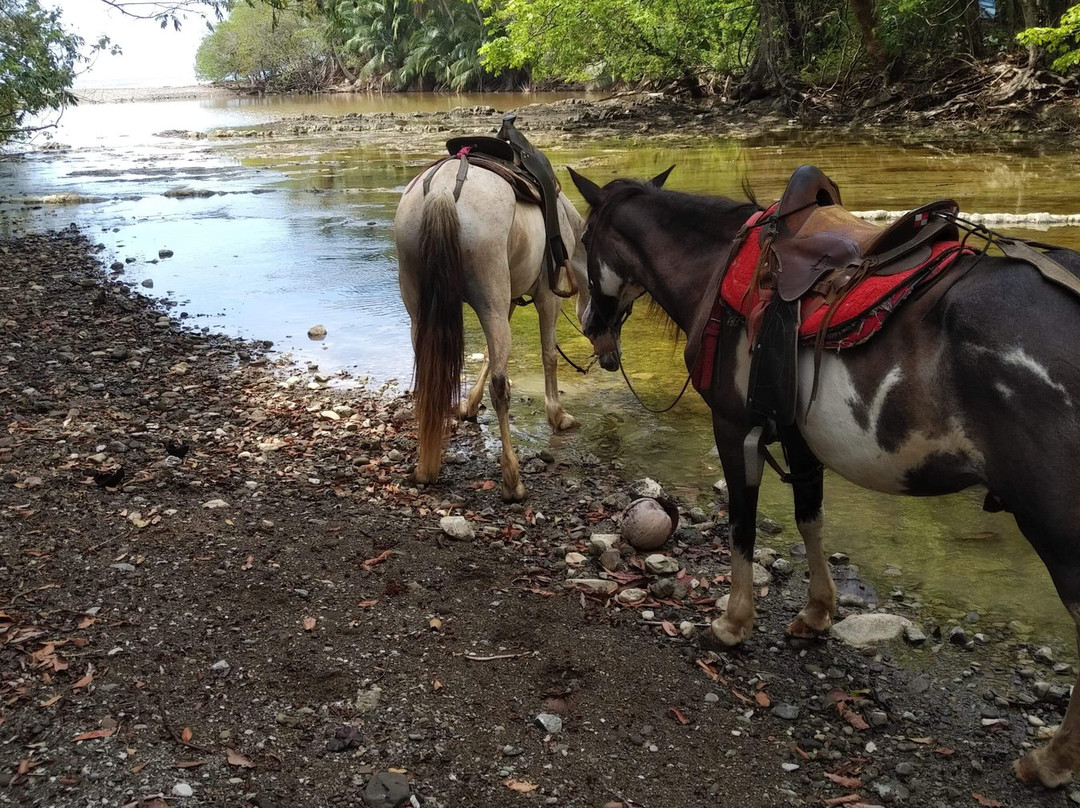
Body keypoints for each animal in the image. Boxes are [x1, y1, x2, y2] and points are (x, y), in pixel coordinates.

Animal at [395, 158, 591, 501]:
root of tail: (443, 189)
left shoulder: (511, 299)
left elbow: (488, 354)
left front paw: (469, 406)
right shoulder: (547, 296)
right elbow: (549, 355)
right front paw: (557, 415)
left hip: (421, 305)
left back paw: (425, 468)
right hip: (491, 299)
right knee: (501, 387)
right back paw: (512, 479)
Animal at [570, 167, 1080, 786]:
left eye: (583, 241)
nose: (590, 326)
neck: (714, 265)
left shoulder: (733, 427)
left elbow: (742, 527)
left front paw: (732, 623)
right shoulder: (796, 433)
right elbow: (809, 516)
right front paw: (815, 614)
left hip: (1057, 529)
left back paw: (1050, 761)